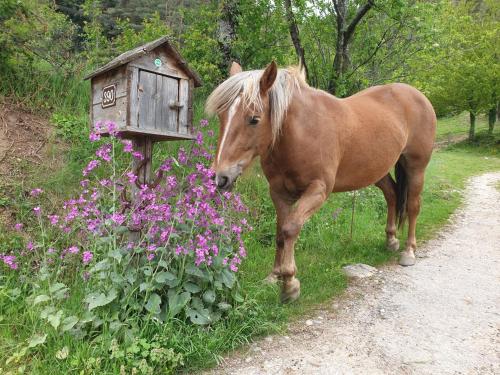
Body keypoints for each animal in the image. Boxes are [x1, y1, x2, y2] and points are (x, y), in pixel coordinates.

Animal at [205, 61, 436, 302]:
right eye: (221, 116)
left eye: (254, 119)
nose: (219, 177)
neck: (301, 132)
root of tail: (417, 94)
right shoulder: (278, 192)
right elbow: (280, 232)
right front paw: (274, 276)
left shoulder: (318, 190)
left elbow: (290, 229)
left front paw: (289, 283)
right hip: (376, 170)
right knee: (391, 194)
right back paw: (391, 240)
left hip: (416, 168)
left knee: (413, 206)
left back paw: (408, 251)